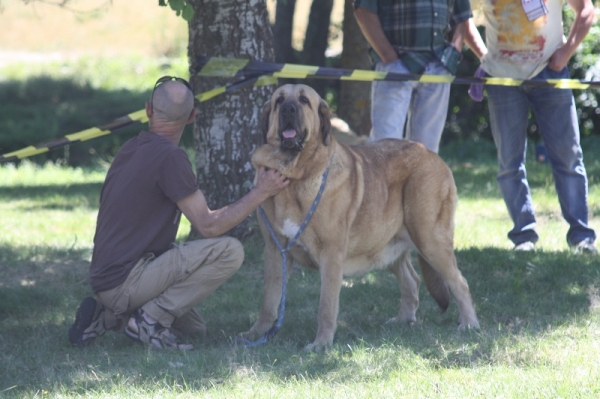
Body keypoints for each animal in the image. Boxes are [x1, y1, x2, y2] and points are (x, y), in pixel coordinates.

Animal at [239, 83, 478, 350]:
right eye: (279, 101)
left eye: (304, 101)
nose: (288, 109)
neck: (294, 177)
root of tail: (431, 154)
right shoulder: (275, 250)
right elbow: (269, 301)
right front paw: (256, 334)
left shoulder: (331, 253)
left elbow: (326, 305)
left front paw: (321, 344)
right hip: (387, 243)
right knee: (411, 280)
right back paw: (403, 320)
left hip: (429, 239)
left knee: (459, 282)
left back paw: (469, 324)